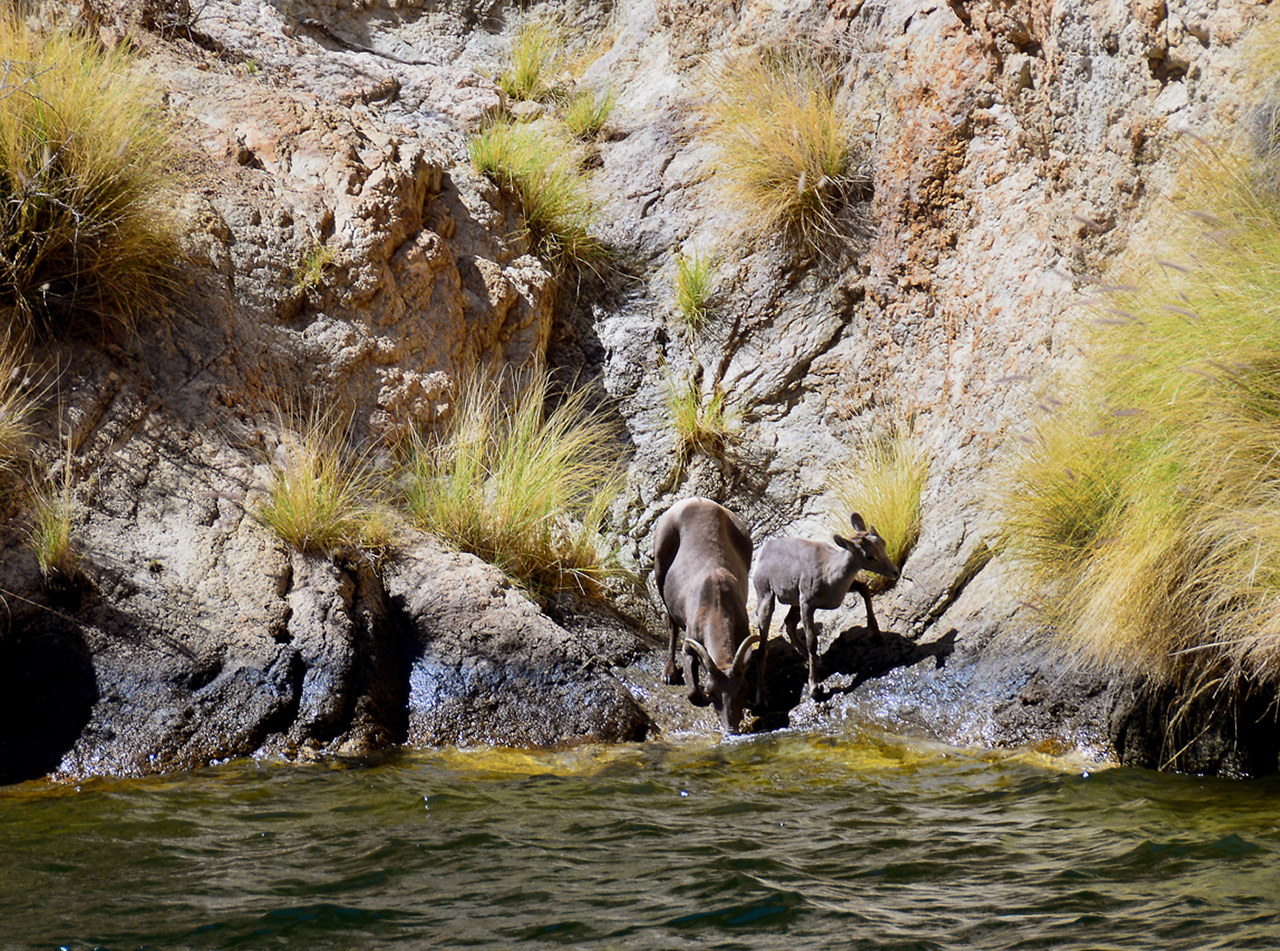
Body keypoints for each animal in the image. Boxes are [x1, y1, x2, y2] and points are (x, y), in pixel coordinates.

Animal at [650, 499, 757, 737]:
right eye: (711, 691)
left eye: (742, 689)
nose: (731, 730)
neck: (715, 600)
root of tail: (694, 501)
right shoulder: (690, 646)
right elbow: (692, 692)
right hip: (659, 569)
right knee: (671, 624)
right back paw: (669, 673)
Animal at [747, 514, 901, 701]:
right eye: (869, 556)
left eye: (883, 544)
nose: (895, 571)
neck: (829, 573)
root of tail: (763, 550)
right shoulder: (807, 605)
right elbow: (812, 641)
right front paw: (816, 688)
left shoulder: (843, 589)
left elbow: (864, 589)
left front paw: (876, 635)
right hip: (767, 598)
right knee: (763, 648)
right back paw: (761, 698)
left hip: (794, 603)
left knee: (789, 624)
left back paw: (821, 661)